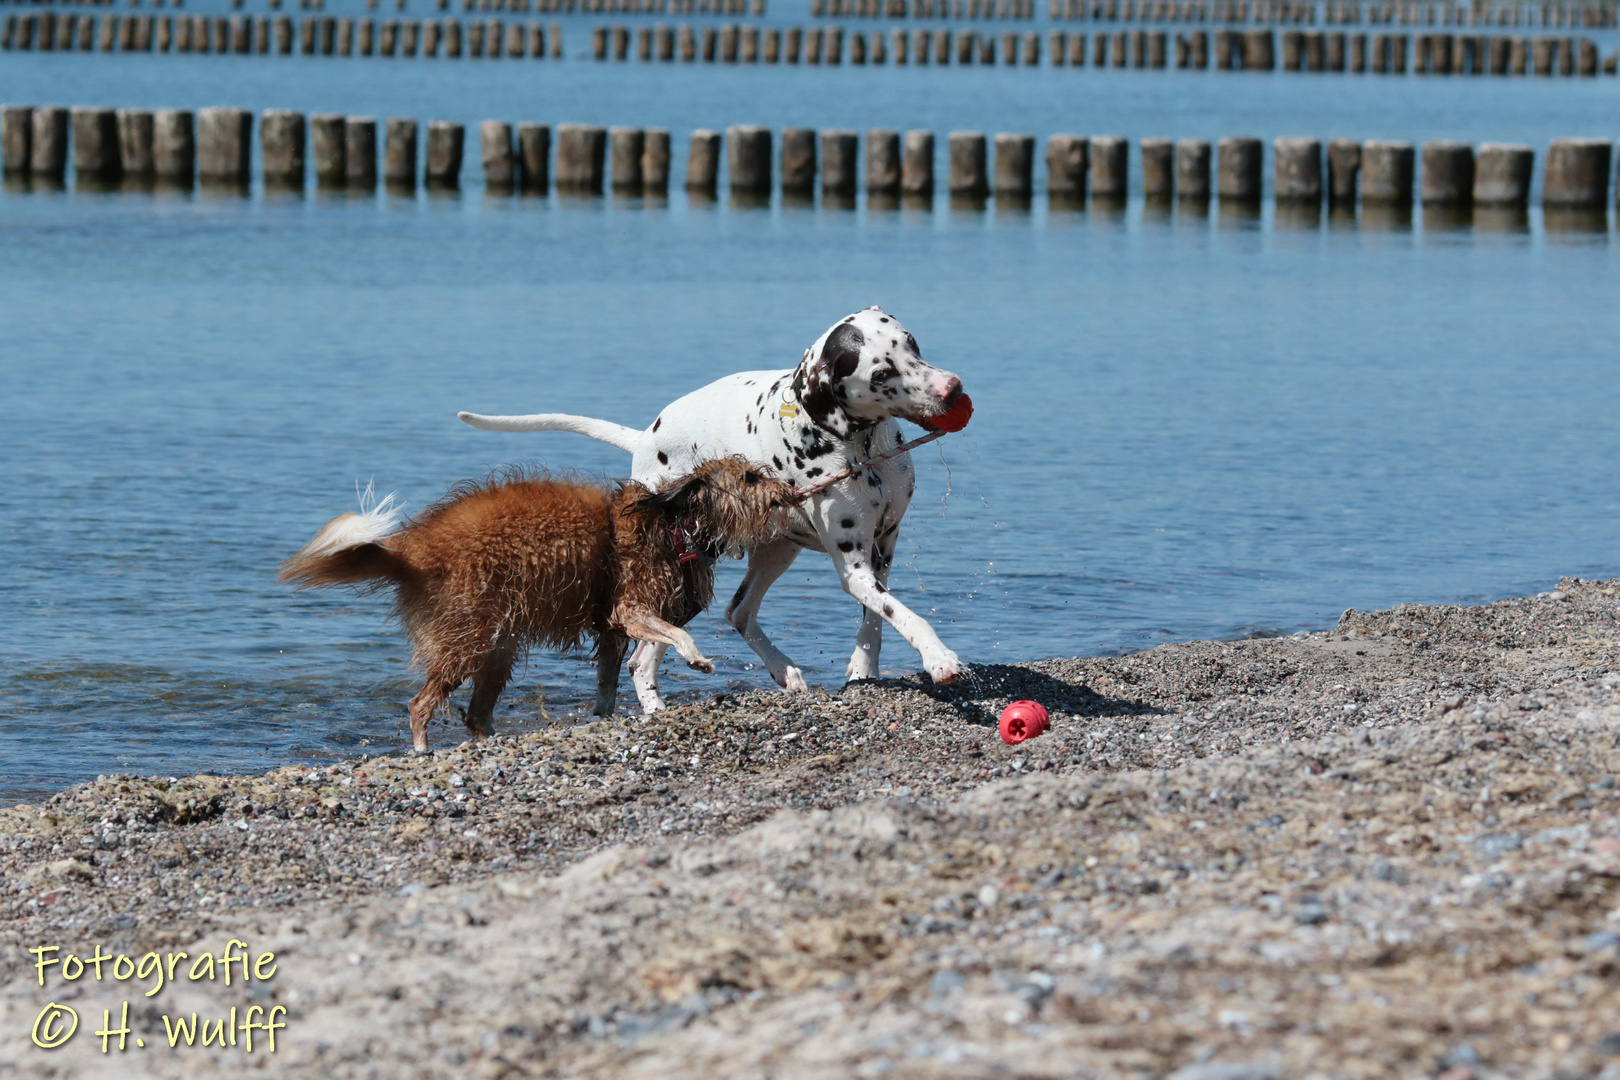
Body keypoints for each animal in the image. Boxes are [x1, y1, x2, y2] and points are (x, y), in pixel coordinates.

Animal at [280, 459, 797, 751]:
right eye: (750, 478)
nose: (787, 492)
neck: (673, 522)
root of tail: (413, 550)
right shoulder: (628, 610)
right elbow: (678, 632)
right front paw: (697, 658)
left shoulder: (612, 631)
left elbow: (607, 685)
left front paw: (602, 717)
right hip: (468, 640)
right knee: (419, 704)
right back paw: (423, 750)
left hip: (497, 647)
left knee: (475, 715)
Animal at [456, 306, 959, 709]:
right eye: (880, 374)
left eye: (911, 343)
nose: (952, 388)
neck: (859, 446)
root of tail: (645, 438)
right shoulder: (854, 568)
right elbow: (905, 615)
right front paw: (939, 658)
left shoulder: (883, 546)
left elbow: (877, 617)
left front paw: (864, 669)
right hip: (679, 578)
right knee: (642, 659)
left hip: (774, 550)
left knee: (737, 612)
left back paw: (782, 670)